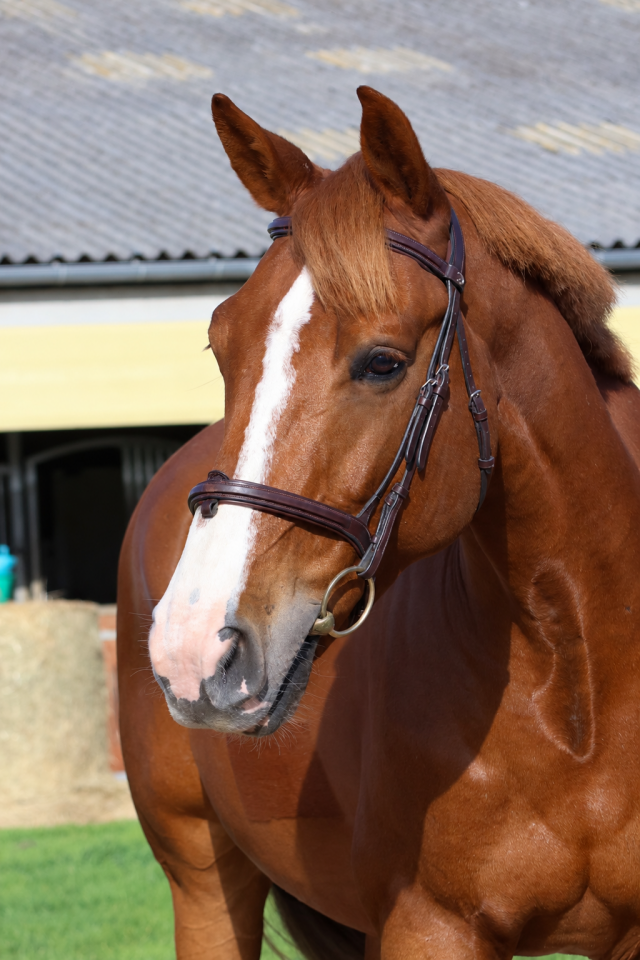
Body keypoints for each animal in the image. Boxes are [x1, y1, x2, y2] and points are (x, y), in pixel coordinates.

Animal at [118, 85, 640, 960]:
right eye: (221, 347)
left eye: (384, 363)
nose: (193, 648)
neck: (583, 683)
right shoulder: (430, 927)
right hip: (204, 881)